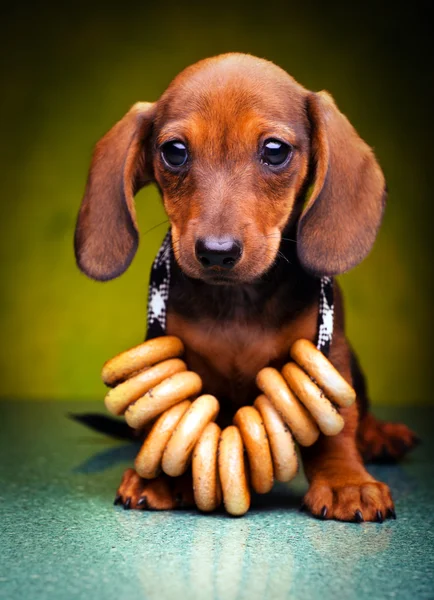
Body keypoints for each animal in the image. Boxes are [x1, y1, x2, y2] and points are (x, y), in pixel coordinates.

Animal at [74, 52, 418, 520]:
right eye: (174, 152)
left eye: (275, 150)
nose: (216, 253)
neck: (237, 301)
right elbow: (168, 416)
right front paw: (159, 476)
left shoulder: (328, 354)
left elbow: (336, 427)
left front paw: (347, 482)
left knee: (361, 413)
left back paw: (380, 435)